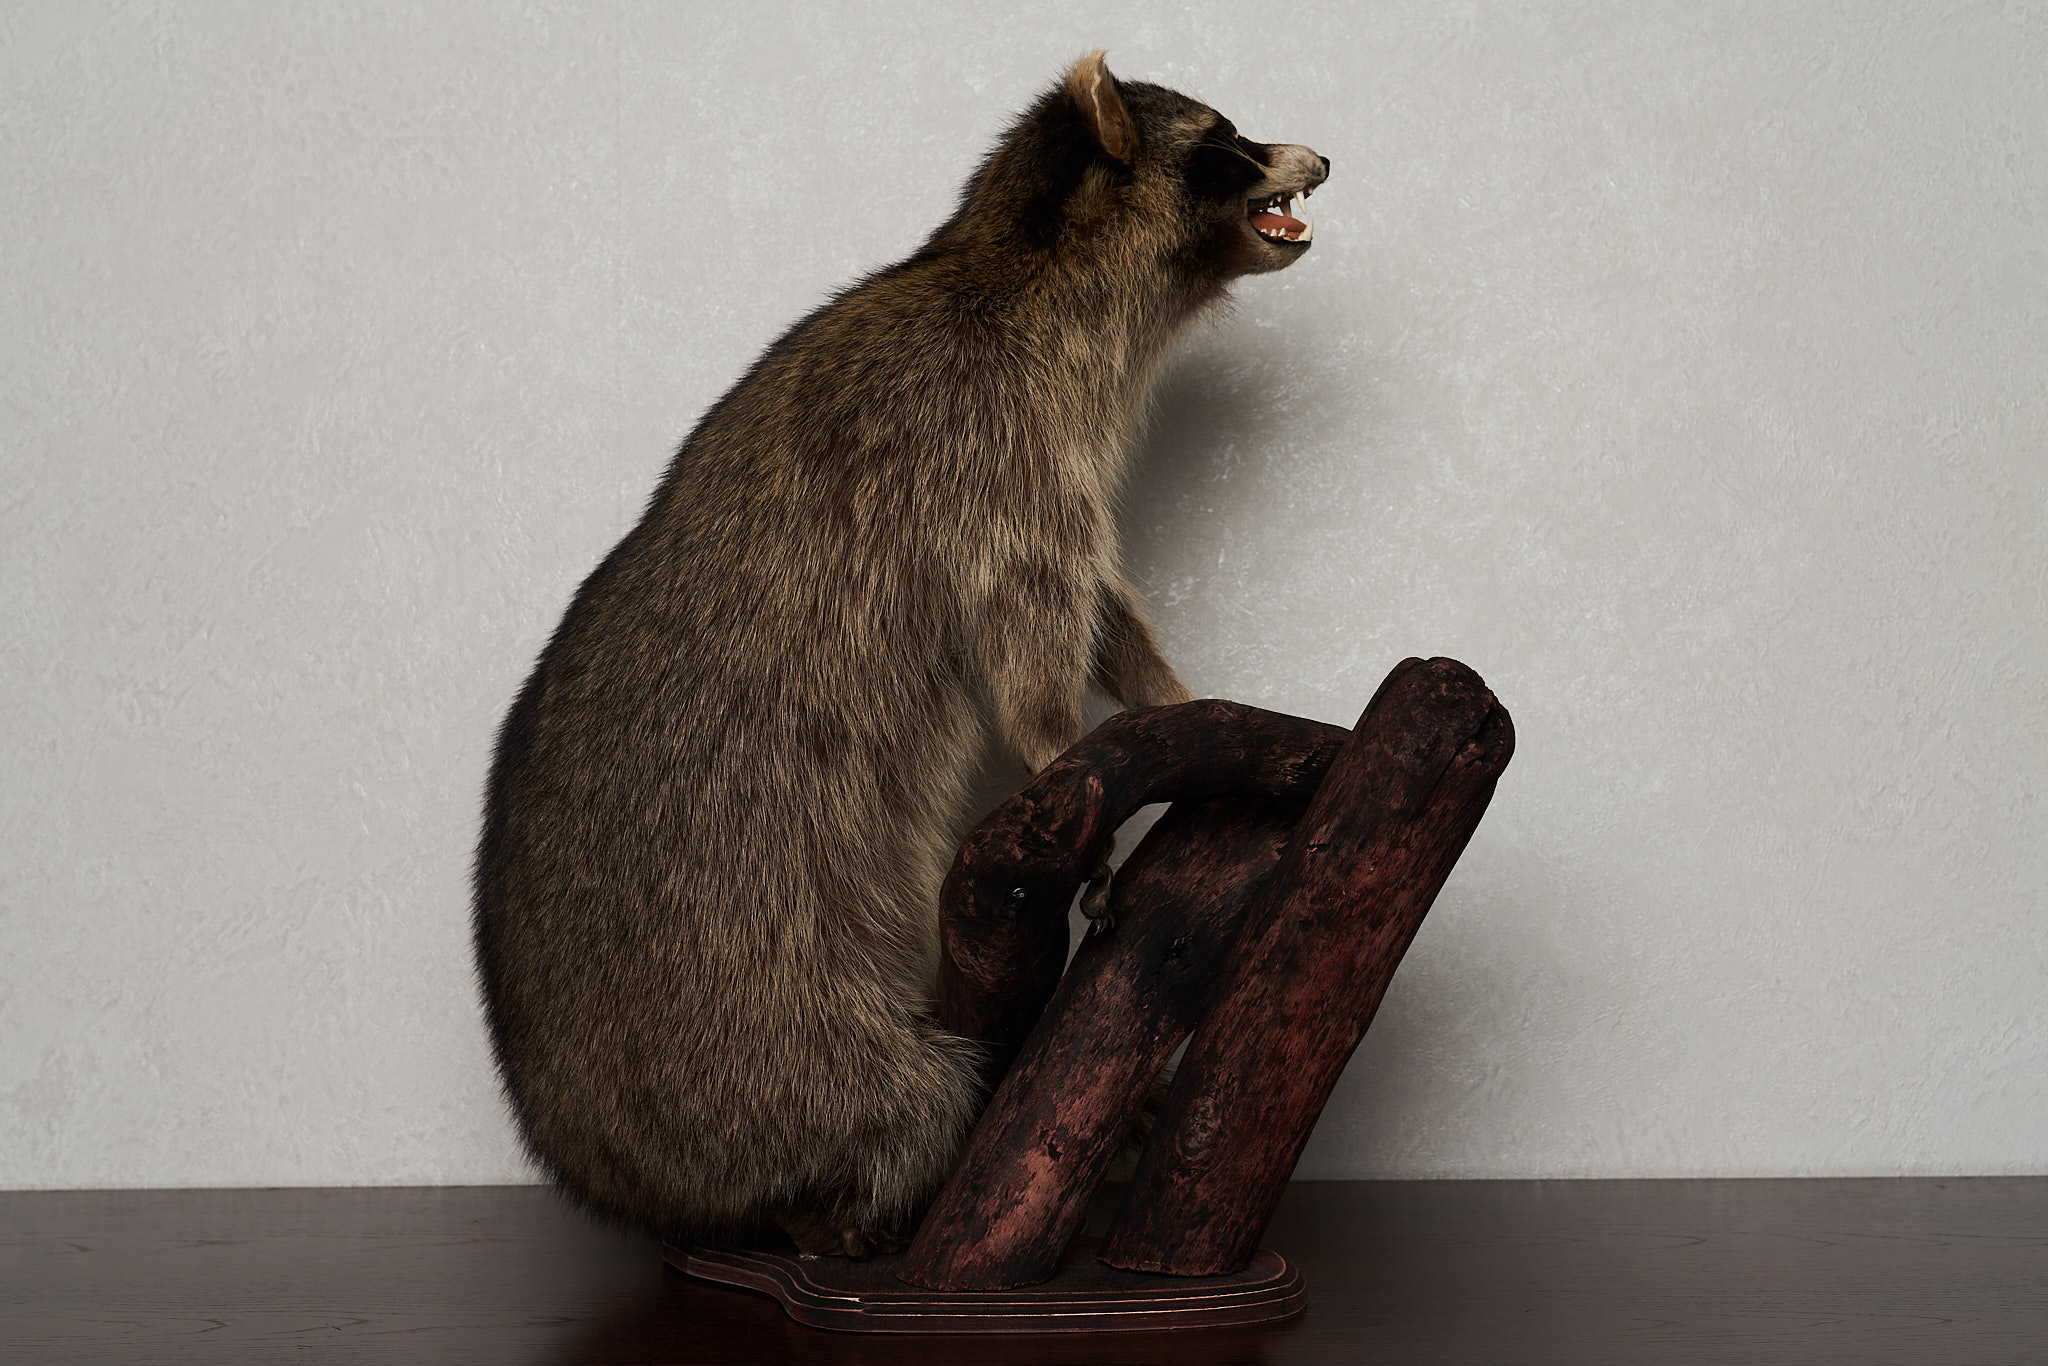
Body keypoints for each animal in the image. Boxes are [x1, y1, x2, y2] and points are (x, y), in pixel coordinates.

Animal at [473, 52, 1327, 1256]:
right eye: (1227, 139)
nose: (1321, 156)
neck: (1023, 270)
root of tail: (613, 1165)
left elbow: (1104, 609)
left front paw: (1166, 694)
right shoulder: (991, 447)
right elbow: (1031, 628)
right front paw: (1060, 751)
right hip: (770, 1027)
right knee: (903, 1105)